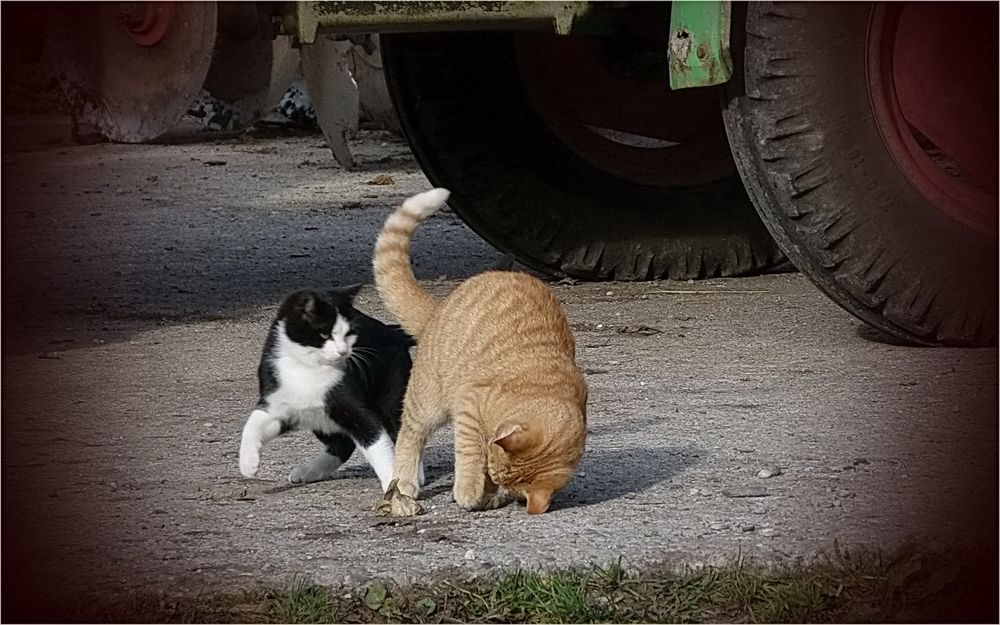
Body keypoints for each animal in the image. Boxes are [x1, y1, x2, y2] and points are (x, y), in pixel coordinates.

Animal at [238, 286, 414, 490]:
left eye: (348, 334)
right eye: (325, 334)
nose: (343, 351)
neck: (308, 367)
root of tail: (393, 332)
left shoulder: (353, 408)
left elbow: (377, 443)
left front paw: (395, 487)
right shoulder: (278, 399)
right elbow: (253, 423)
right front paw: (248, 463)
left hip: (392, 395)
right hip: (319, 419)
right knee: (343, 444)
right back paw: (309, 470)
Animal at [374, 188, 584, 516]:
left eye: (498, 477)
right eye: (493, 469)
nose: (491, 490)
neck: (542, 385)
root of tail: (439, 309)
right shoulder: (469, 405)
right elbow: (469, 450)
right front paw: (469, 490)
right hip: (429, 403)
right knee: (409, 436)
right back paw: (405, 482)